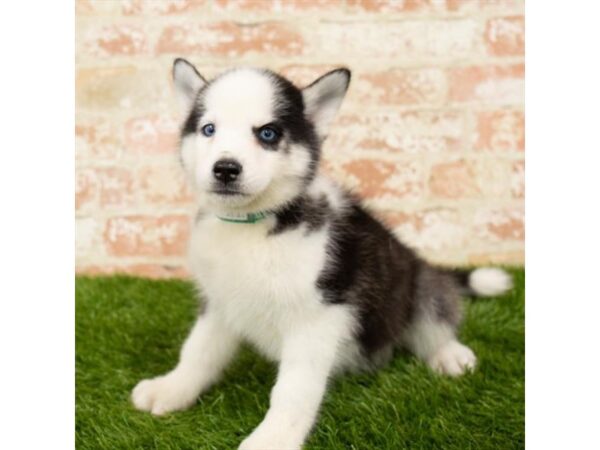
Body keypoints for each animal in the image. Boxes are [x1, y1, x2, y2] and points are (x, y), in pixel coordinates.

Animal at [131, 59, 510, 450]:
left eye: (268, 133)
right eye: (209, 129)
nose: (225, 169)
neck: (253, 226)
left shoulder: (317, 317)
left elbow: (294, 389)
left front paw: (273, 437)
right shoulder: (221, 302)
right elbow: (198, 351)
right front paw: (171, 388)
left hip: (416, 282)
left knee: (434, 316)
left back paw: (449, 353)